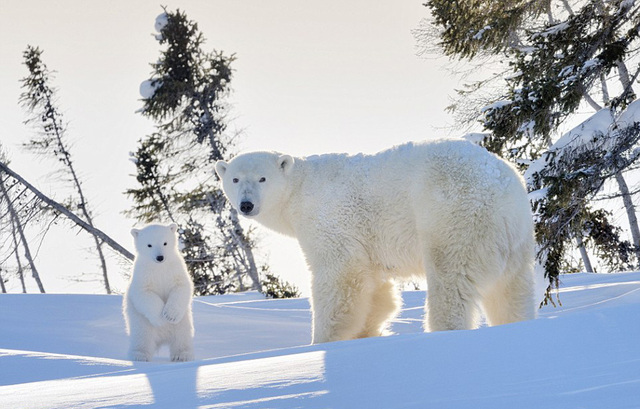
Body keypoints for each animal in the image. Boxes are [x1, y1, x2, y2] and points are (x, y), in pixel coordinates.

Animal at [215, 139, 536, 342]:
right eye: (234, 179)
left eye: (262, 178)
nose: (246, 205)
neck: (299, 189)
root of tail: (504, 190)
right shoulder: (369, 243)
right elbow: (375, 288)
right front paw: (368, 332)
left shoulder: (330, 220)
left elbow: (340, 276)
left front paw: (321, 341)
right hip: (515, 238)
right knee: (511, 290)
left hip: (453, 217)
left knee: (450, 279)